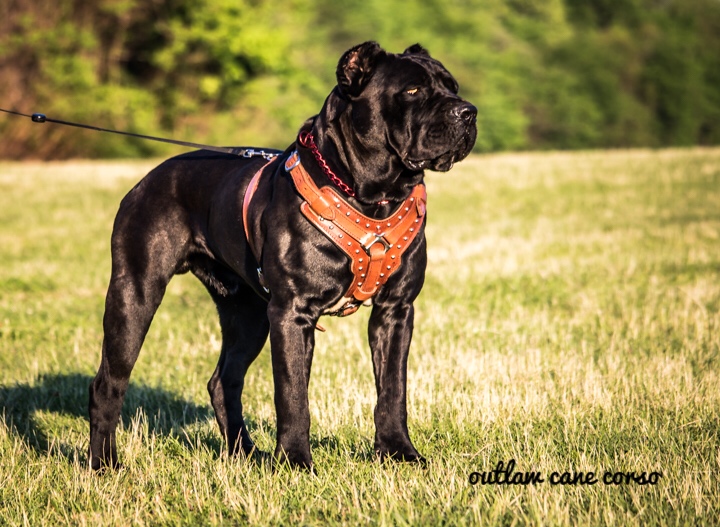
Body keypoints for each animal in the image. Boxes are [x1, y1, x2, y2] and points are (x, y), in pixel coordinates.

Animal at [87, 41, 476, 470]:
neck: (372, 195)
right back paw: (104, 463)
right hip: (135, 293)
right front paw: (295, 461)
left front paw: (398, 452)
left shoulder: (395, 310)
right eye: (412, 91)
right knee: (108, 383)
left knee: (223, 381)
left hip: (248, 313)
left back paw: (245, 454)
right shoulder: (292, 311)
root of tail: (144, 181)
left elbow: (392, 390)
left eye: (453, 87)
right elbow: (292, 395)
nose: (468, 111)